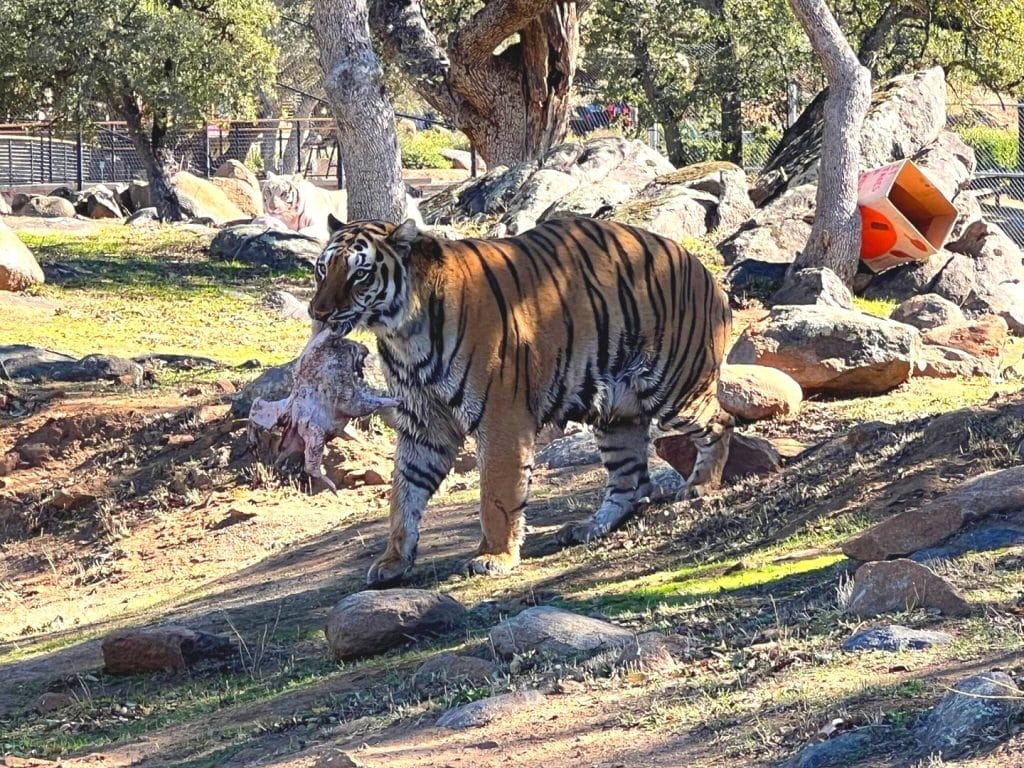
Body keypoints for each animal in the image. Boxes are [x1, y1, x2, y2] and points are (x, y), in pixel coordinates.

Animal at [308, 215, 734, 587]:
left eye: (360, 274)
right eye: (321, 270)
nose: (318, 312)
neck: (402, 333)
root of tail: (700, 267)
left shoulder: (501, 419)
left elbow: (496, 494)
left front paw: (493, 556)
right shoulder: (424, 423)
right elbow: (405, 492)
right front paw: (394, 561)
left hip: (674, 386)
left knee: (719, 423)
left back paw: (699, 487)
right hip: (616, 413)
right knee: (630, 481)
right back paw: (588, 529)